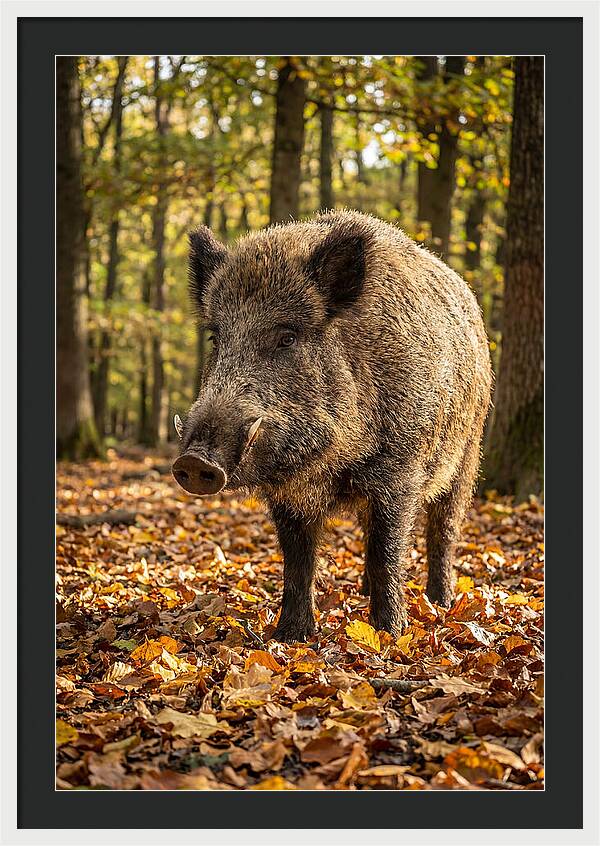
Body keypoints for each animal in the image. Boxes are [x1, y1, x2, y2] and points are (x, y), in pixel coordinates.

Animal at [172, 210, 492, 642]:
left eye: (287, 337)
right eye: (215, 338)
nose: (194, 461)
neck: (329, 463)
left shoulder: (400, 471)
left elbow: (388, 550)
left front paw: (389, 634)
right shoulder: (288, 495)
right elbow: (298, 560)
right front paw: (290, 636)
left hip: (468, 453)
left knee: (443, 529)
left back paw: (440, 602)